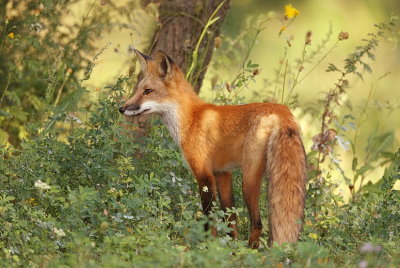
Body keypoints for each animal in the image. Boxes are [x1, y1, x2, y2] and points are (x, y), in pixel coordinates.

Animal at [119, 49, 306, 247]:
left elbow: (209, 219)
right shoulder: (223, 174)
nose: (121, 108)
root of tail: (281, 110)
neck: (191, 119)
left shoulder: (204, 175)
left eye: (148, 91)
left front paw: (207, 247)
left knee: (257, 223)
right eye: (138, 90)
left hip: (248, 180)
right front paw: (228, 248)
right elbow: (230, 220)